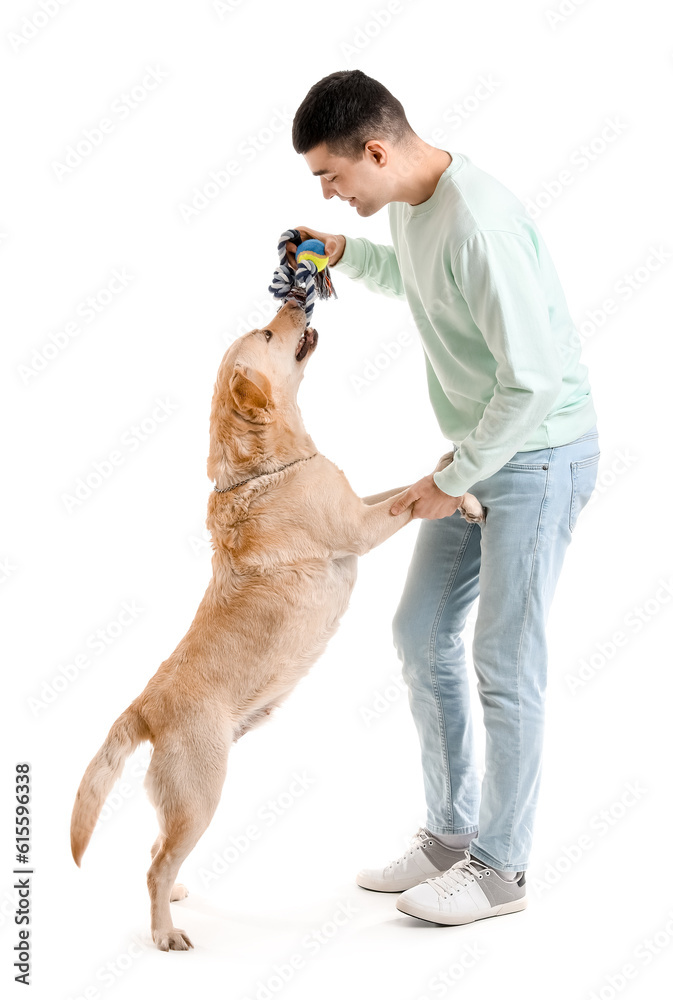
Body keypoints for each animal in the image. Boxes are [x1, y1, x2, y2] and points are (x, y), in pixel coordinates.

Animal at [69, 298, 484, 952]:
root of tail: (144, 705)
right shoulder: (361, 529)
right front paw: (456, 492)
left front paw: (454, 474)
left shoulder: (359, 501)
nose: (295, 301)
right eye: (267, 334)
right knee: (156, 861)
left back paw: (175, 896)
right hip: (202, 793)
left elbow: (409, 484)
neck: (269, 464)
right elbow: (412, 501)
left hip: (184, 803)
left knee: (156, 850)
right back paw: (165, 932)